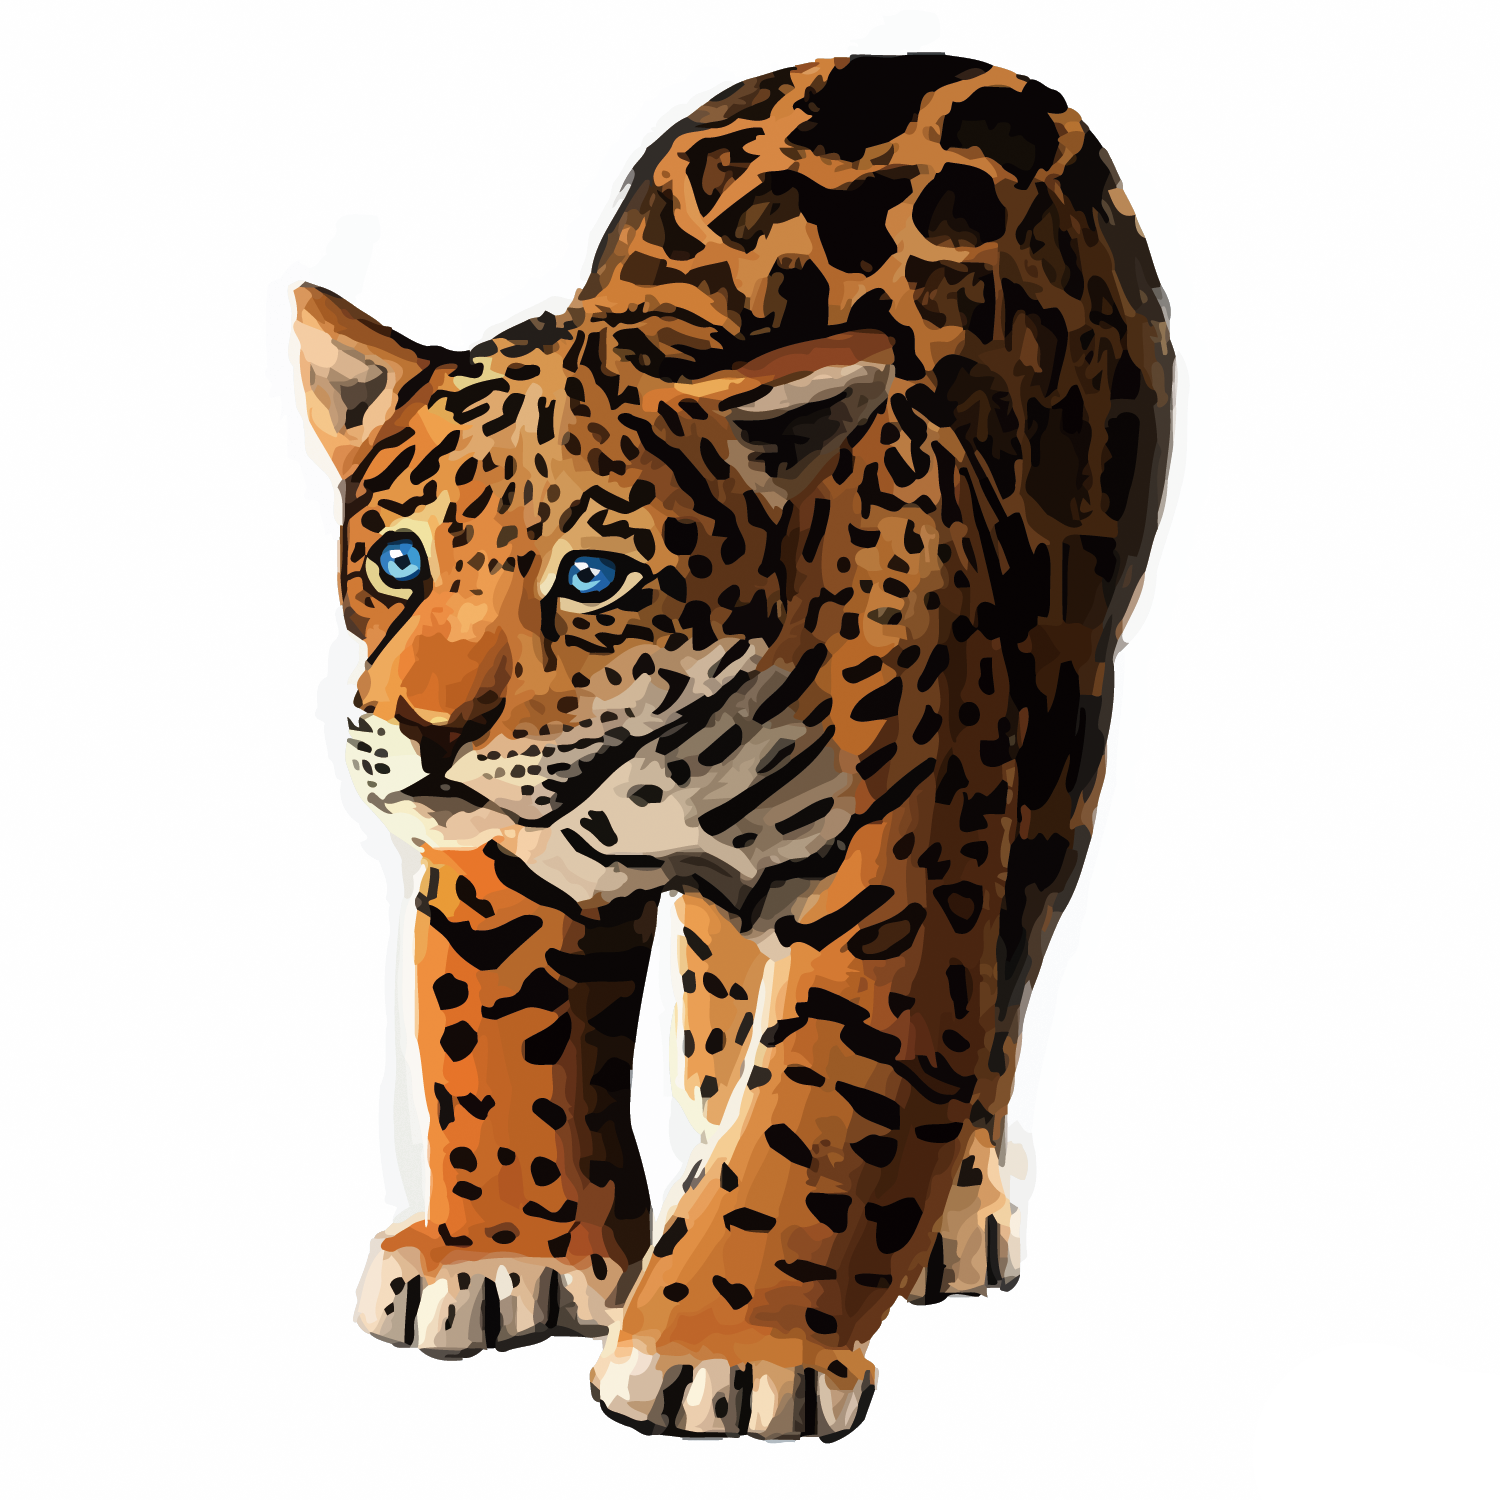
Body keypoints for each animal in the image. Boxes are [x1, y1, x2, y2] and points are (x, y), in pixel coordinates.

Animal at [289, 51, 1174, 1441]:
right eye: (398, 562)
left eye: (593, 577)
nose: (429, 734)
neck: (677, 751)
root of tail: (935, 57)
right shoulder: (506, 872)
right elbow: (492, 1055)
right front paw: (500, 1252)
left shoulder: (896, 892)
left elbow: (826, 1117)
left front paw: (726, 1342)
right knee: (719, 952)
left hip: (1067, 722)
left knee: (1010, 966)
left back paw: (955, 1199)